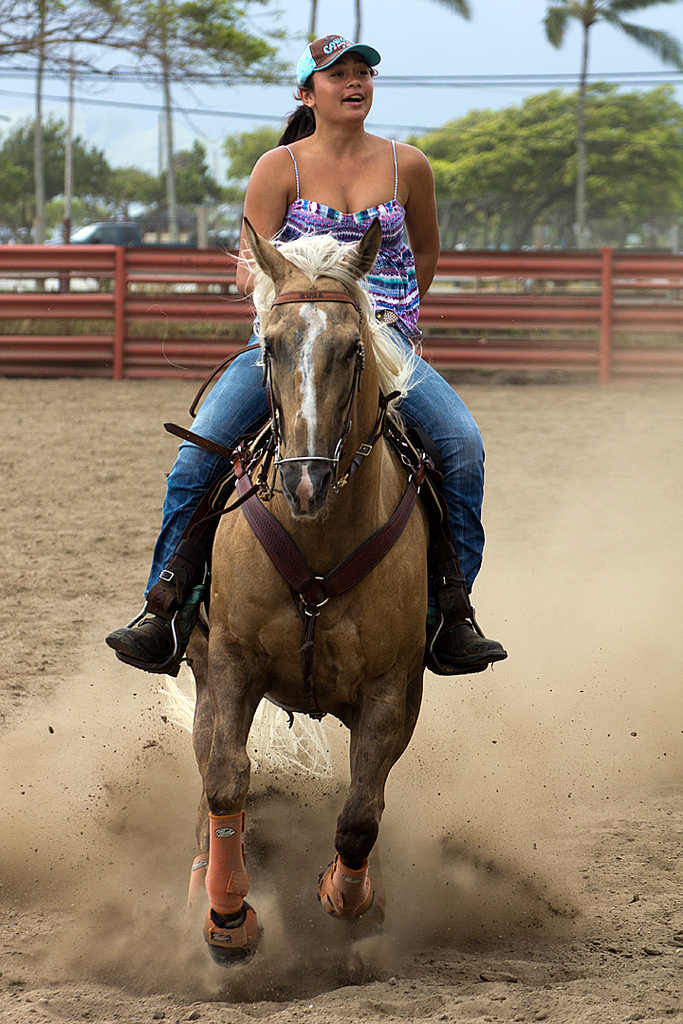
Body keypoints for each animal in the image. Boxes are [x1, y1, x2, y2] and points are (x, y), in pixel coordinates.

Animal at [184, 220, 430, 962]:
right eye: (269, 344)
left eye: (352, 349)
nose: (304, 481)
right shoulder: (231, 661)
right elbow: (226, 780)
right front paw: (228, 919)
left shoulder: (391, 688)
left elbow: (360, 814)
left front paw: (345, 897)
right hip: (201, 664)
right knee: (206, 765)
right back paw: (202, 878)